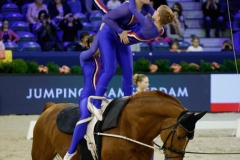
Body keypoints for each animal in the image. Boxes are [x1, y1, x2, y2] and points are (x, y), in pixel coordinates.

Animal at [31, 90, 206, 159]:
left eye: (189, 140)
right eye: (179, 136)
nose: (176, 159)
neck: (131, 129)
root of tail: (51, 107)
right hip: (41, 154)